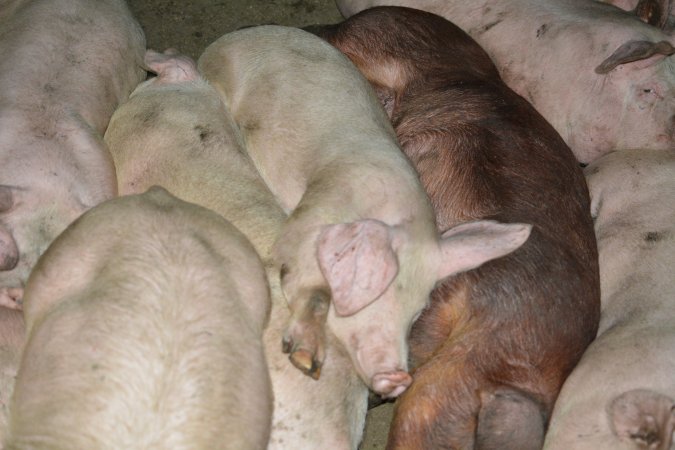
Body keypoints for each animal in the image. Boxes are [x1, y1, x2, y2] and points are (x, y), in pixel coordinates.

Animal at [197, 25, 533, 399]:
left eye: (416, 313)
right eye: (379, 292)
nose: (398, 379)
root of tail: (235, 36)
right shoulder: (316, 210)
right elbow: (303, 273)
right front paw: (306, 360)